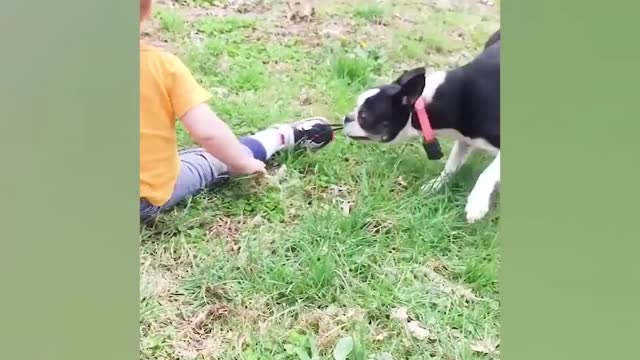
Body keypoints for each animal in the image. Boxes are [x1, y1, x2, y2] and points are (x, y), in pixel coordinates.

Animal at [344, 30, 500, 222]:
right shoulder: (465, 140)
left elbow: (487, 173)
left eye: (364, 115)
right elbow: (452, 165)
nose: (347, 117)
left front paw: (477, 204)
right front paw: (436, 185)